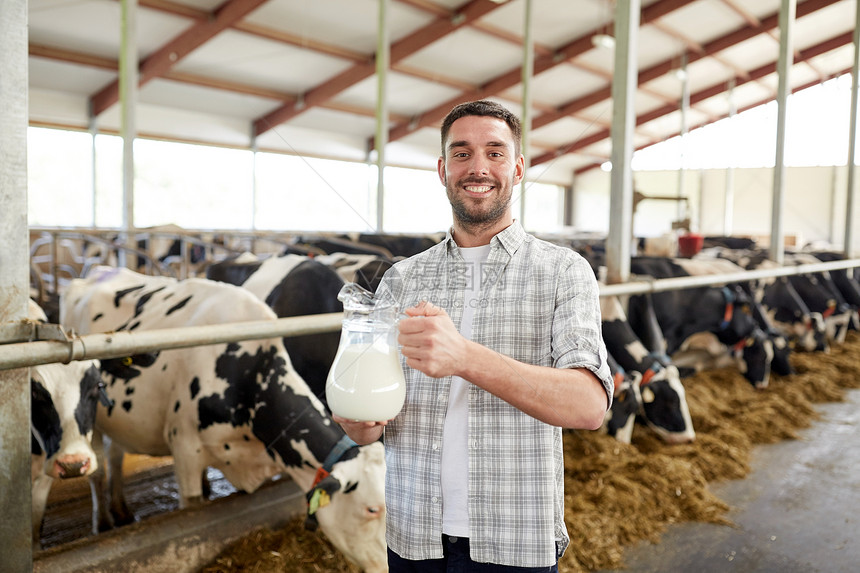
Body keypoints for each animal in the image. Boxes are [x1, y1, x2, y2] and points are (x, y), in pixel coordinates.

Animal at [59, 268, 382, 572]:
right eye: (372, 509)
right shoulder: (185, 450)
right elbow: (192, 506)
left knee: (115, 455)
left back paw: (122, 510)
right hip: (89, 416)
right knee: (98, 469)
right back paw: (103, 522)